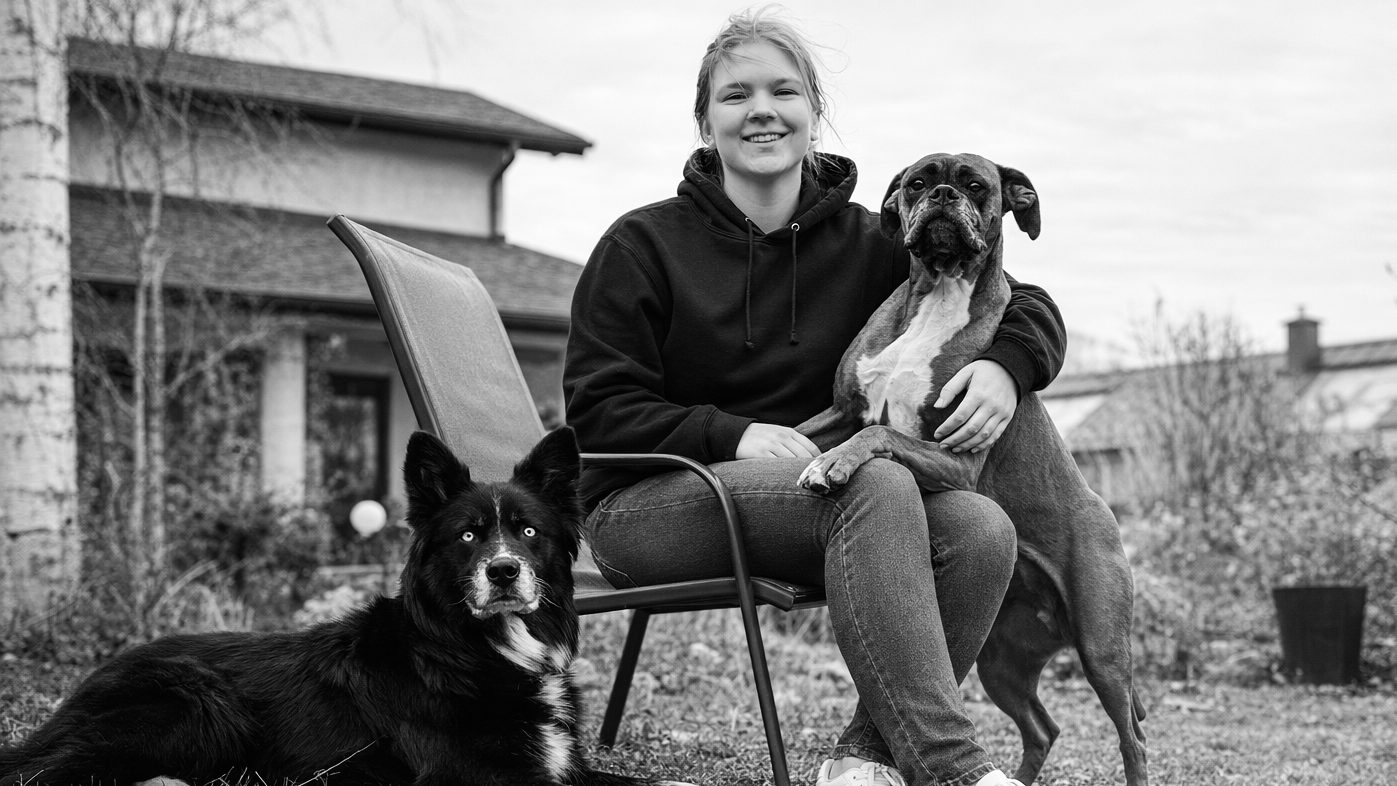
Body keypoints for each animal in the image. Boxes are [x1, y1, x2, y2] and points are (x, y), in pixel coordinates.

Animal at [1, 427, 690, 786]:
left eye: (527, 532)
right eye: (468, 536)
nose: (503, 571)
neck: (472, 648)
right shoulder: (475, 776)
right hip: (199, 709)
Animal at [796, 154, 1148, 786]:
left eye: (977, 185)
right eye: (915, 183)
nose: (940, 194)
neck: (939, 294)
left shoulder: (955, 458)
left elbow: (879, 434)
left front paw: (832, 464)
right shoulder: (839, 410)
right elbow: (814, 428)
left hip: (1103, 648)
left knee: (1132, 739)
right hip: (1002, 662)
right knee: (1043, 728)